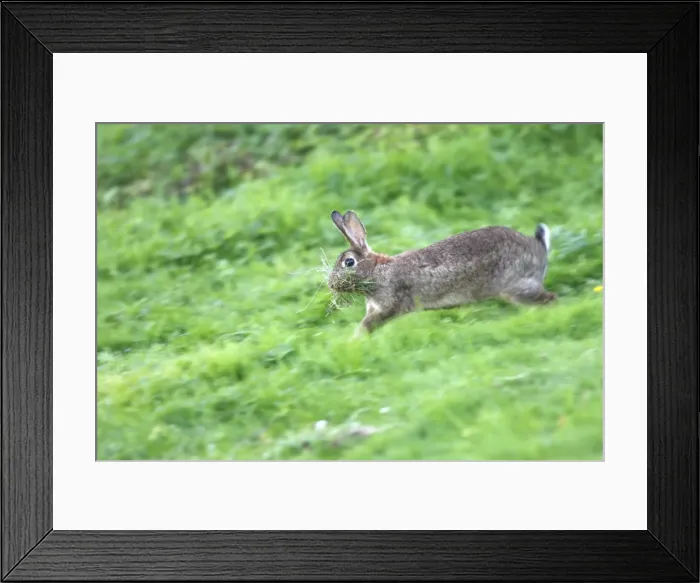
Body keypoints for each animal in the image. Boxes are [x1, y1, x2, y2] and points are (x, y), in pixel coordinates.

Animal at [327, 210, 556, 337]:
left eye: (349, 262)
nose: (330, 284)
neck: (376, 271)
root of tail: (539, 247)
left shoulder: (389, 303)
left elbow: (368, 324)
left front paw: (354, 340)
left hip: (516, 286)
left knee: (549, 298)